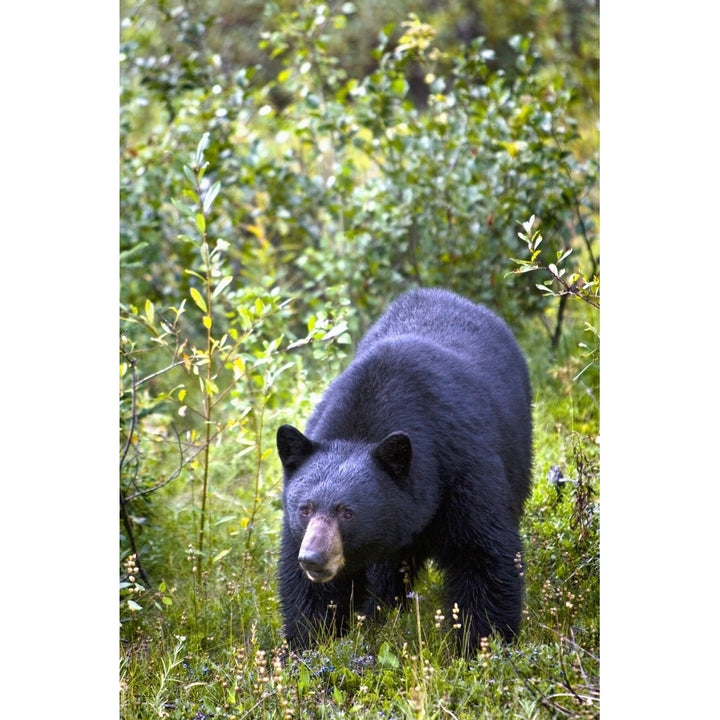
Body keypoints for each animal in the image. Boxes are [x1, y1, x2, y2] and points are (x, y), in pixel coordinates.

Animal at [278, 286, 532, 652]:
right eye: (304, 509)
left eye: (348, 512)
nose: (313, 558)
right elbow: (310, 594)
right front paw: (308, 644)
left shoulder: (462, 467)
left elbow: (482, 554)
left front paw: (481, 645)